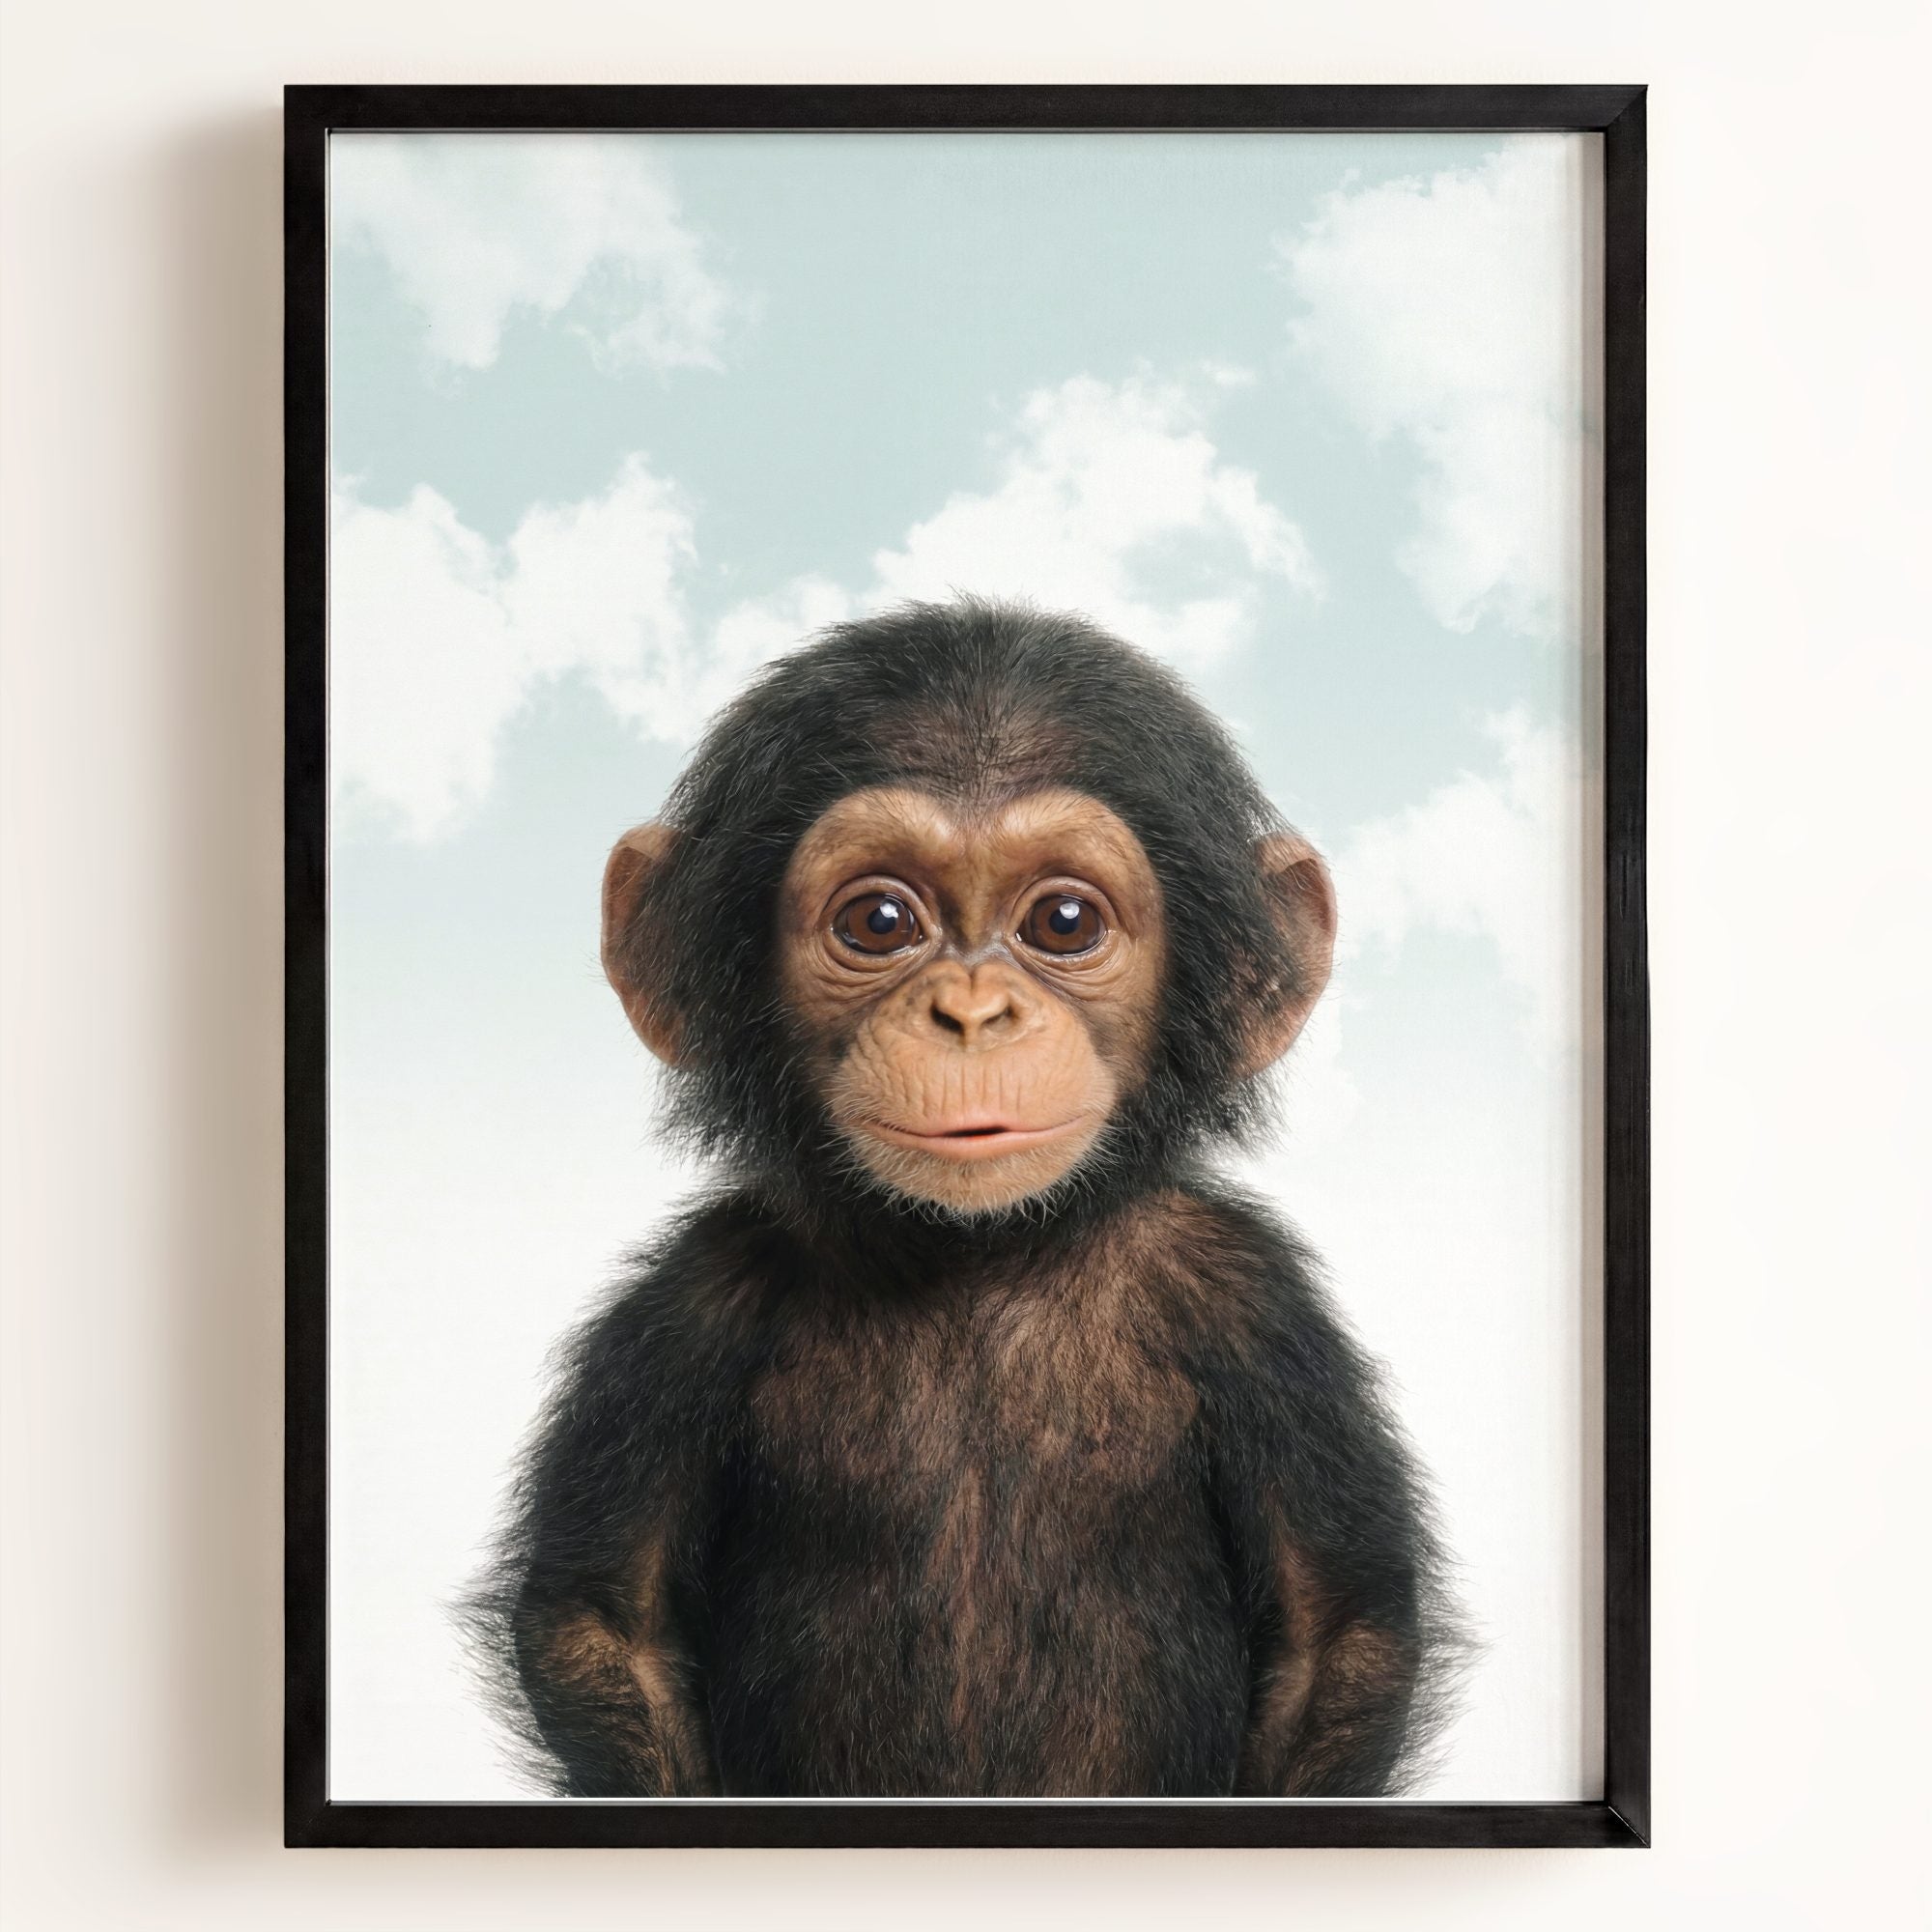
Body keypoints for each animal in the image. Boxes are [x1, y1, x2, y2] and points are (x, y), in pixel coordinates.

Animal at [464, 597, 1463, 1799]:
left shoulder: (1255, 1305)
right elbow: (605, 1622)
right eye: (880, 921)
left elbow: (1335, 1633)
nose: (973, 1012)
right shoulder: (686, 1307)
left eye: (1064, 920)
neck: (974, 1253)